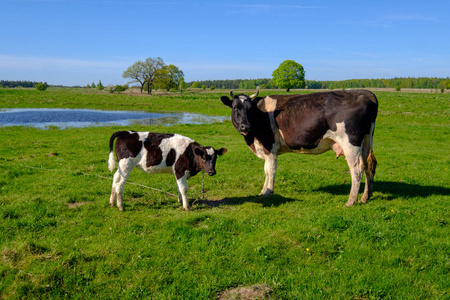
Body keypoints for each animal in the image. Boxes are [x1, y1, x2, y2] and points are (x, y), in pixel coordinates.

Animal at [220, 87, 378, 206]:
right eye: (235, 108)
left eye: (250, 109)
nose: (245, 126)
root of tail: (364, 93)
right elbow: (265, 170)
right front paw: (262, 190)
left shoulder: (270, 147)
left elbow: (270, 170)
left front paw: (268, 191)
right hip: (366, 140)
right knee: (369, 164)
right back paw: (365, 197)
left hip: (350, 143)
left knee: (356, 169)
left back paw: (351, 201)